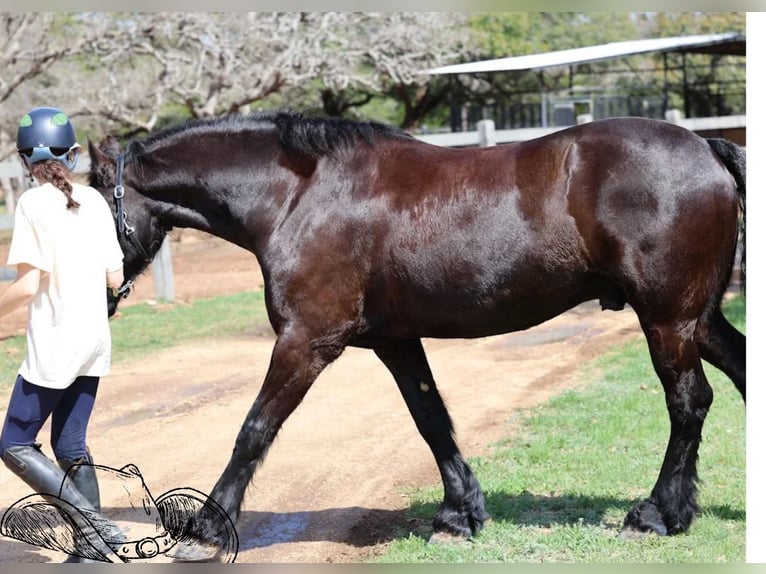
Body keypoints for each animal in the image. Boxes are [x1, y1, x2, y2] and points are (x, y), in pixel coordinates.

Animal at [87, 111, 745, 557]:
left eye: (83, 208)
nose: (97, 303)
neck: (299, 196)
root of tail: (707, 147)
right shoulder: (394, 341)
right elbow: (431, 421)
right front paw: (459, 515)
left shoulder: (307, 341)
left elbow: (254, 430)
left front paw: (205, 527)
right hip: (698, 319)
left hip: (667, 319)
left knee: (689, 402)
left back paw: (655, 515)